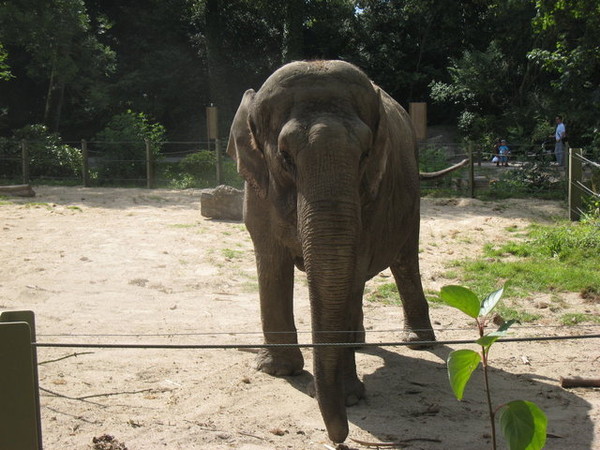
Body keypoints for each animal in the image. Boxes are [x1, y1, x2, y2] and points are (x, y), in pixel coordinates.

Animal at [227, 59, 462, 442]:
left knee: (404, 261)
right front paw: (278, 372)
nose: (339, 437)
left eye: (365, 154)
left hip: (411, 199)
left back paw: (417, 343)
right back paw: (362, 343)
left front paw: (348, 397)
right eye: (285, 157)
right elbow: (272, 260)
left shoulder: (372, 194)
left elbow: (352, 267)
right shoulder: (258, 192)